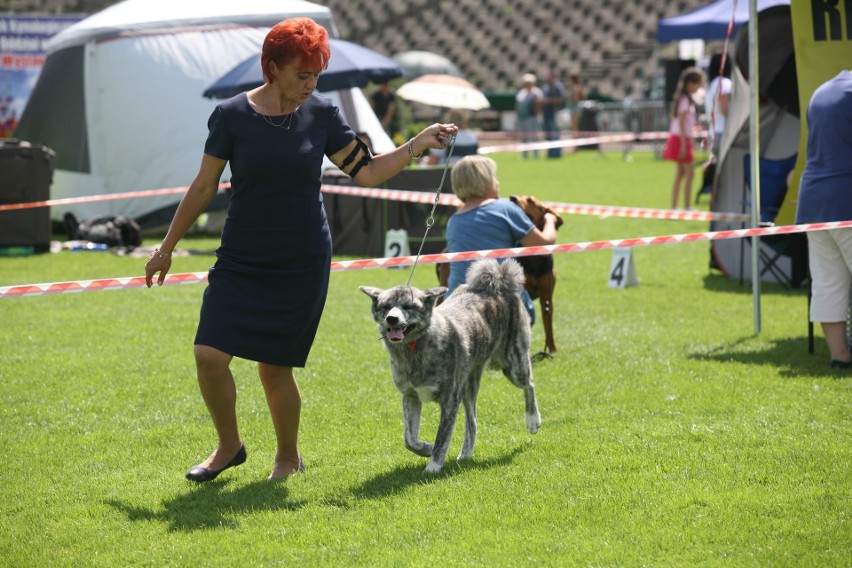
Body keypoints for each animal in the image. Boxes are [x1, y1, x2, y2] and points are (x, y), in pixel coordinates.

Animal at [358, 260, 540, 472]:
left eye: (408, 306)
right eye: (386, 306)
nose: (392, 318)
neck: (415, 348)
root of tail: (498, 281)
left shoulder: (450, 400)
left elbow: (442, 437)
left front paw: (433, 466)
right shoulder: (411, 396)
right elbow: (409, 439)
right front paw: (425, 448)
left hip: (513, 365)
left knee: (529, 385)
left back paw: (533, 420)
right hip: (469, 386)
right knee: (472, 421)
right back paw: (465, 454)